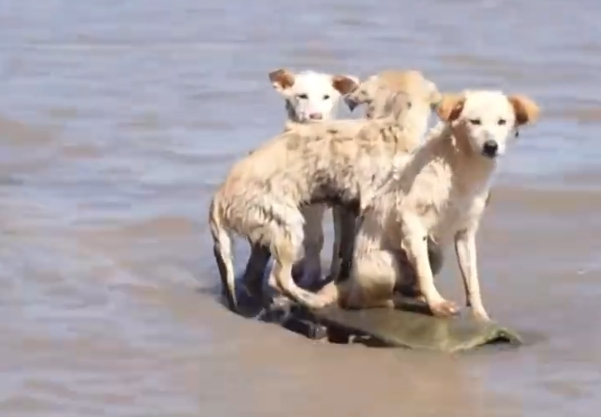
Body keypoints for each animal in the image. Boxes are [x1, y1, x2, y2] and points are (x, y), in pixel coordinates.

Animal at [210, 92, 422, 312]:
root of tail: (219, 198)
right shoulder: (367, 203)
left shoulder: (347, 208)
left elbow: (346, 249)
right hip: (286, 223)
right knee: (278, 278)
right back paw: (311, 300)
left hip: (264, 234)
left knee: (252, 277)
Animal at [314, 89, 540, 320]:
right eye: (474, 121)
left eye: (502, 121)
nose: (491, 146)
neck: (462, 167)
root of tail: (346, 282)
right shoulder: (411, 222)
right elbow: (424, 272)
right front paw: (438, 305)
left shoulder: (465, 230)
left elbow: (472, 280)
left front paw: (480, 315)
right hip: (384, 263)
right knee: (365, 299)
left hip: (436, 254)